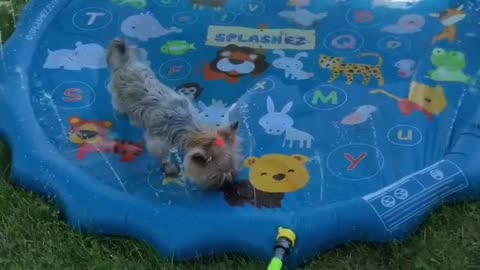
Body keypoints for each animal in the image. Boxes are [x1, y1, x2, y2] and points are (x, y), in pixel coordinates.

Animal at [105, 38, 244, 190]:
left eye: (232, 170)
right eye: (217, 176)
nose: (229, 184)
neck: (193, 131)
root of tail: (125, 63)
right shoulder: (157, 144)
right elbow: (163, 157)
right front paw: (170, 169)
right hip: (118, 98)